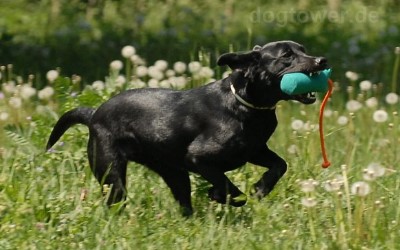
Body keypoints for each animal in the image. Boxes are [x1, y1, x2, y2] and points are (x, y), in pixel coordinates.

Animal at [47, 40, 328, 215]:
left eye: (303, 49)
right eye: (286, 56)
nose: (321, 59)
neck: (245, 105)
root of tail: (94, 114)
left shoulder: (255, 150)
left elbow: (280, 165)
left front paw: (260, 188)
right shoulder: (198, 158)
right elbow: (227, 185)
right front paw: (226, 196)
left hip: (175, 175)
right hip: (112, 174)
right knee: (116, 200)